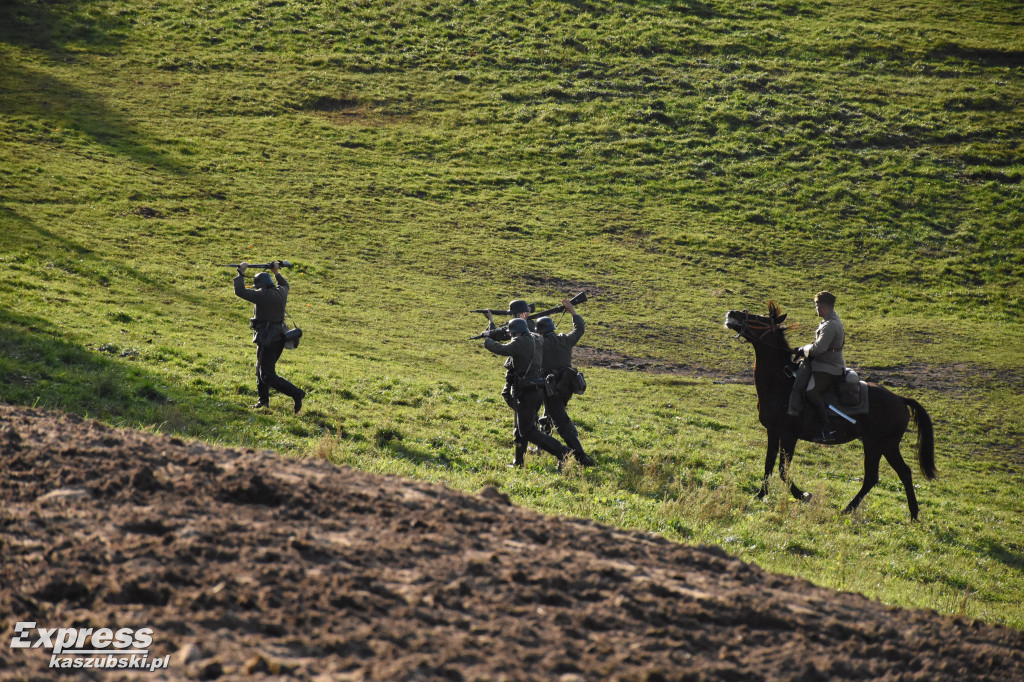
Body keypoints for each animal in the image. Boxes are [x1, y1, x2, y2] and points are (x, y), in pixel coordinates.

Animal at [720, 301, 937, 518]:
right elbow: (769, 464)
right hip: (876, 445)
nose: (731, 313)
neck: (782, 384)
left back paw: (903, 513)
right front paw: (760, 495)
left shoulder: (789, 436)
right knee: (880, 476)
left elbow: (783, 469)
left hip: (883, 444)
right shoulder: (773, 432)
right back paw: (857, 509)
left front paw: (802, 495)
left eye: (759, 318)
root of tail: (900, 399)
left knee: (894, 474)